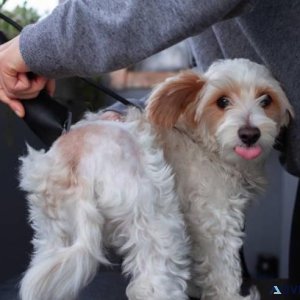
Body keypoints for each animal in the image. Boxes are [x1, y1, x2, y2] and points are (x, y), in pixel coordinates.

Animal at [18, 58, 292, 300]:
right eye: (222, 101)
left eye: (266, 100)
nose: (250, 135)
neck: (201, 141)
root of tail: (79, 160)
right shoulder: (217, 220)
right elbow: (222, 270)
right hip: (157, 220)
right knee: (152, 284)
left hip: (52, 233)